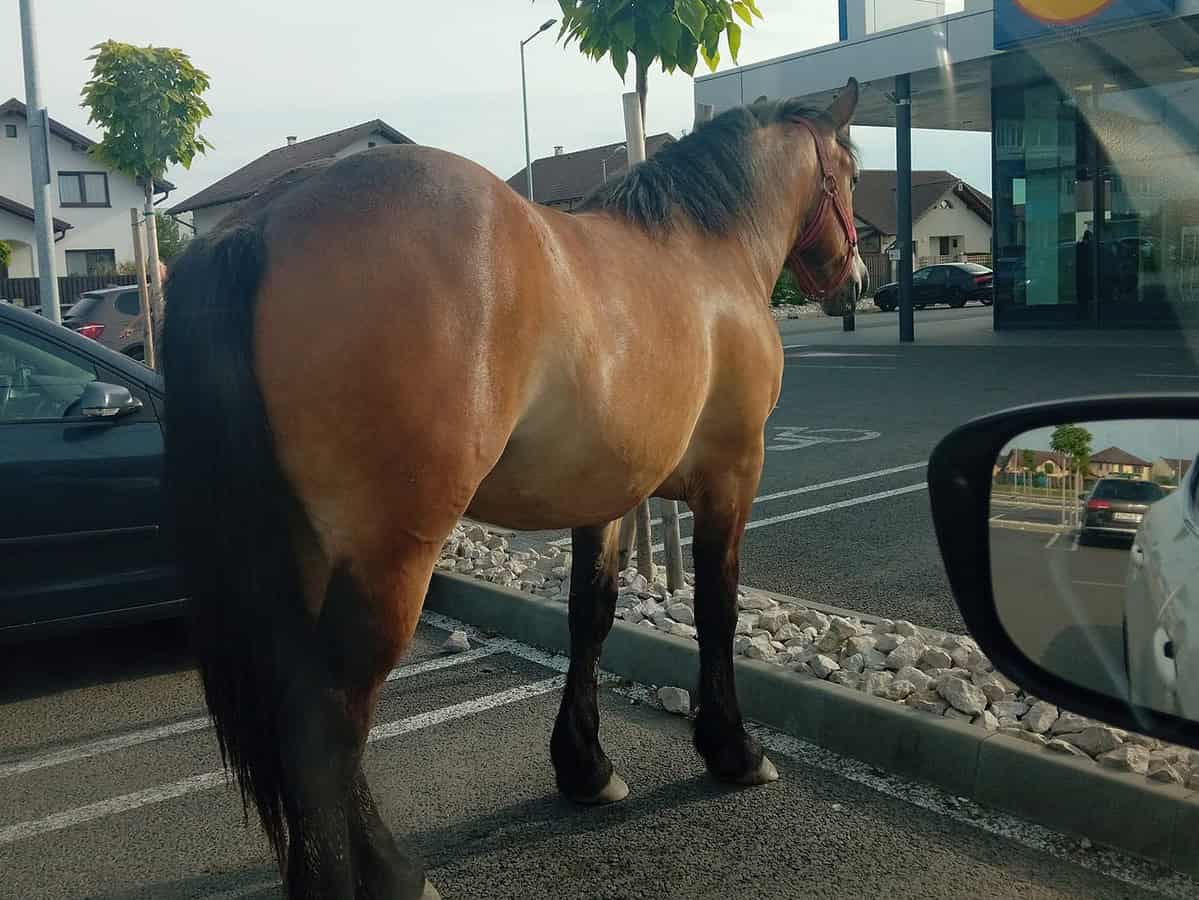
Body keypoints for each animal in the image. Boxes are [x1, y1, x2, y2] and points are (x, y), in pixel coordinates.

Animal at [164, 79, 863, 900]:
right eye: (850, 170)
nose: (856, 282)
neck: (705, 256)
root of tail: (263, 221)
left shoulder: (605, 497)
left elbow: (590, 616)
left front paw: (586, 768)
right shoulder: (733, 475)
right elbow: (715, 611)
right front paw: (733, 750)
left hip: (305, 551)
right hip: (388, 558)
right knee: (327, 715)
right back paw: (383, 876)